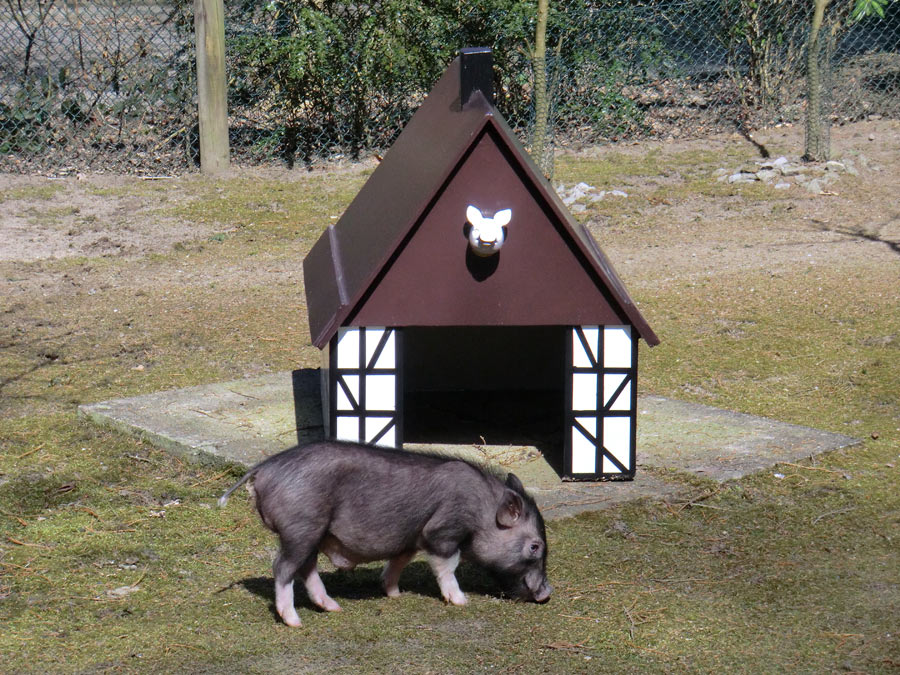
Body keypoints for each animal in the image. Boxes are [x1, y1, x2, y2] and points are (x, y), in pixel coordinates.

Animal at [221, 440, 552, 624]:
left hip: (310, 535)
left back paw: (333, 608)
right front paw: (460, 601)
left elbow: (400, 559)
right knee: (283, 567)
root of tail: (264, 469)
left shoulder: (411, 537)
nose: (547, 594)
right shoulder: (441, 531)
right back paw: (294, 621)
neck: (482, 510)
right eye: (534, 547)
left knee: (306, 568)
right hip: (300, 528)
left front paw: (393, 593)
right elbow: (447, 565)